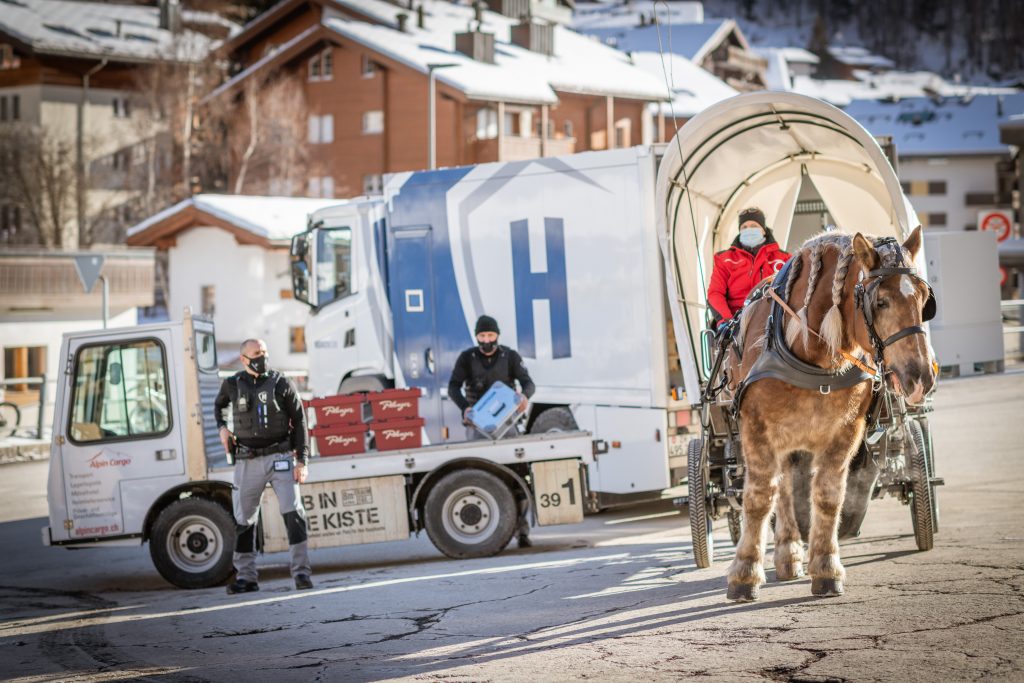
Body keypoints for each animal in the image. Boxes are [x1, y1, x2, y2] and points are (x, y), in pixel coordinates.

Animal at [724, 228, 933, 598]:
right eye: (880, 302)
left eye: (924, 299)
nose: (922, 377)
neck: (810, 353)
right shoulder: (756, 430)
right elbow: (759, 498)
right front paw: (745, 573)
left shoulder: (844, 431)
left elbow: (828, 496)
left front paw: (826, 568)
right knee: (779, 488)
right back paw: (785, 552)